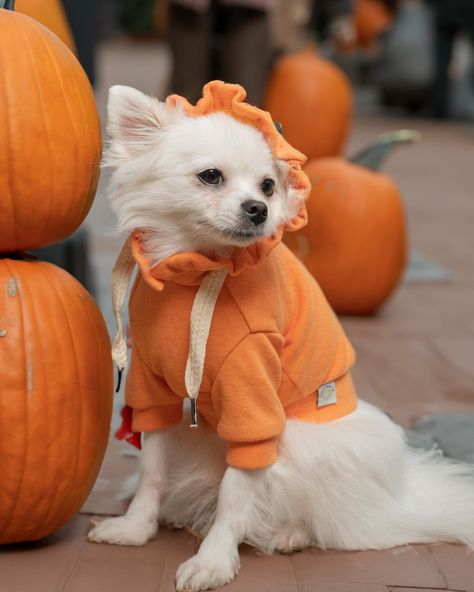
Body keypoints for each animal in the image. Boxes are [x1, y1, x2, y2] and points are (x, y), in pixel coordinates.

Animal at [88, 84, 474, 592]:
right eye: (210, 176)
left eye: (268, 185)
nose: (259, 209)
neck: (199, 275)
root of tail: (397, 496)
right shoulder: (153, 391)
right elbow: (152, 470)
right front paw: (136, 527)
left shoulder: (253, 403)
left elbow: (235, 493)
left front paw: (213, 561)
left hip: (305, 442)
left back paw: (287, 534)